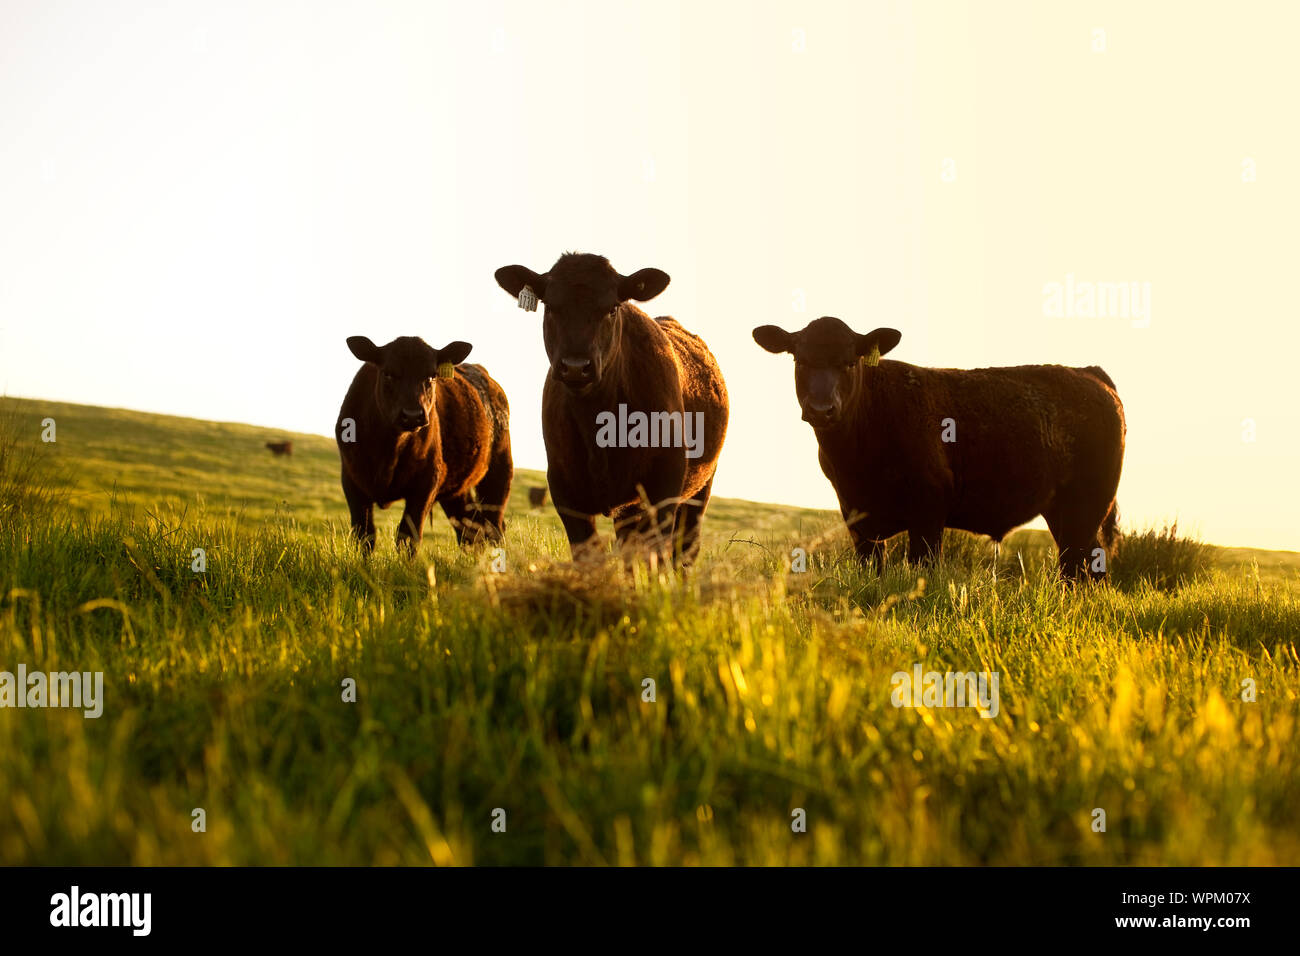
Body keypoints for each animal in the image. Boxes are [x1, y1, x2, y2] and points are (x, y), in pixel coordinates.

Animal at [335, 334, 513, 555]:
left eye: (431, 376)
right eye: (388, 374)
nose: (412, 415)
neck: (388, 450)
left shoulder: (427, 481)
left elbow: (407, 537)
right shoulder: (352, 480)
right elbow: (364, 536)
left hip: (499, 472)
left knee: (494, 526)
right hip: (457, 490)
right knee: (470, 528)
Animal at [494, 252, 728, 567]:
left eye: (612, 308)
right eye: (550, 307)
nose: (576, 367)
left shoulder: (664, 485)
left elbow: (656, 555)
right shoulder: (564, 487)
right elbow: (588, 555)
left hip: (700, 489)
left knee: (684, 549)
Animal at [752, 316, 1125, 579]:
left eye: (849, 361)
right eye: (800, 360)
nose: (821, 409)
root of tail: (1088, 373)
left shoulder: (929, 509)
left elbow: (923, 568)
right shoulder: (855, 515)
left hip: (1087, 507)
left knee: (1079, 566)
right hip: (1065, 511)